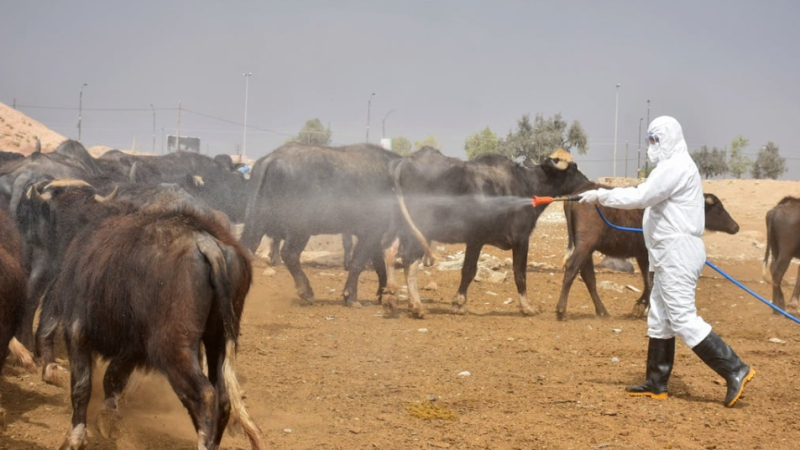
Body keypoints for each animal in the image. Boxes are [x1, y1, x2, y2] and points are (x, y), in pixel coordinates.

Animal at [23, 180, 262, 450]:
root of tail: (206, 242)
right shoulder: (134, 346)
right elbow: (113, 378)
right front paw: (108, 419)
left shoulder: (77, 331)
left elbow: (82, 386)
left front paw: (75, 436)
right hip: (218, 340)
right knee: (222, 398)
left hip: (172, 348)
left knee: (205, 395)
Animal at [238, 144, 400, 306]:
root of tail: (273, 158)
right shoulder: (372, 231)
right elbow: (358, 263)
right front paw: (351, 297)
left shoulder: (375, 235)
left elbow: (379, 264)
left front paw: (381, 294)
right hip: (300, 229)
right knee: (289, 254)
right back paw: (307, 292)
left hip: (257, 221)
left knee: (247, 248)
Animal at [560, 185, 740, 322]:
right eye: (719, 207)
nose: (736, 227)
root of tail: (575, 198)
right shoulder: (650, 254)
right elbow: (651, 280)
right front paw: (646, 308)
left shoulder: (642, 255)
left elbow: (647, 280)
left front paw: (640, 306)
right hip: (585, 244)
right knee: (572, 268)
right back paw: (561, 310)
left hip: (587, 249)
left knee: (588, 276)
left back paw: (602, 311)